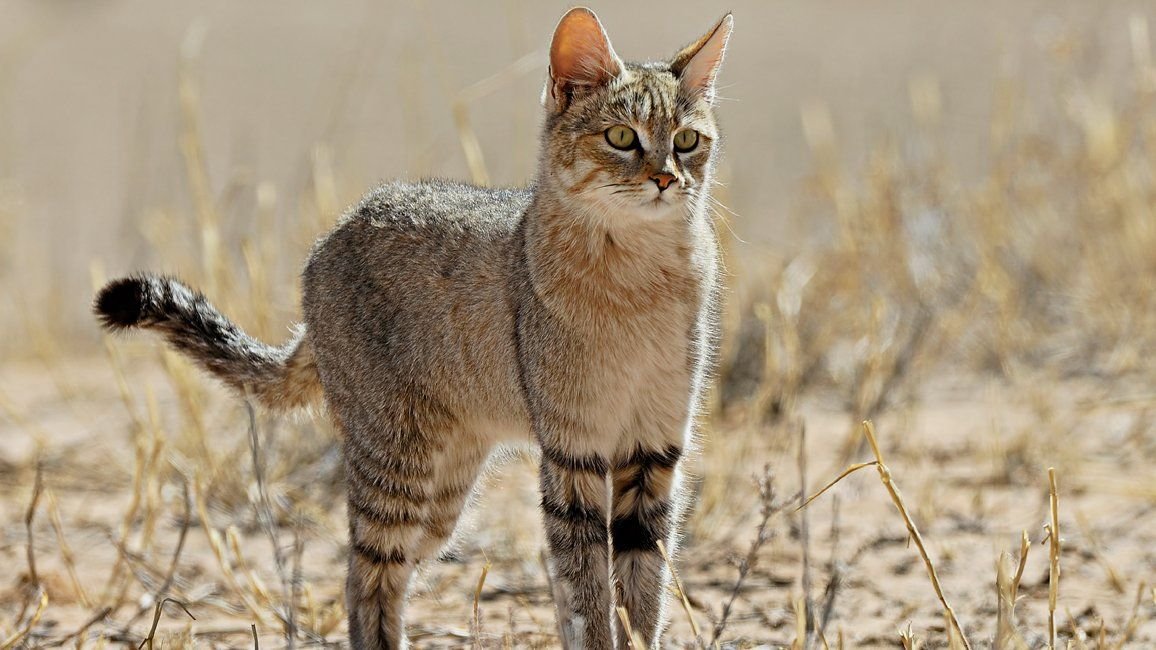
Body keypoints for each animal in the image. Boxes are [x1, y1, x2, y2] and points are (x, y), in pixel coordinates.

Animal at [97, 6, 730, 647]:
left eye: (687, 141)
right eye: (622, 137)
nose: (667, 179)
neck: (639, 280)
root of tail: (337, 229)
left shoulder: (653, 450)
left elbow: (641, 590)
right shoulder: (573, 450)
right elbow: (588, 593)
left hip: (441, 496)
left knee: (390, 573)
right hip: (394, 468)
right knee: (362, 576)